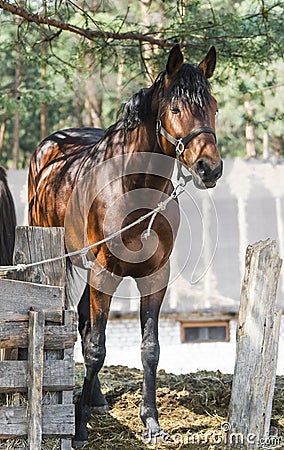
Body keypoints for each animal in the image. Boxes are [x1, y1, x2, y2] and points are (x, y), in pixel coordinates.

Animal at [28, 44, 224, 446]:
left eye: (213, 105)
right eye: (176, 108)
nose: (209, 168)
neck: (134, 188)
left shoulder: (154, 278)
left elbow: (150, 349)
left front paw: (150, 421)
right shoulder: (105, 274)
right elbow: (95, 348)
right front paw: (79, 427)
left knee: (85, 320)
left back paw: (99, 399)